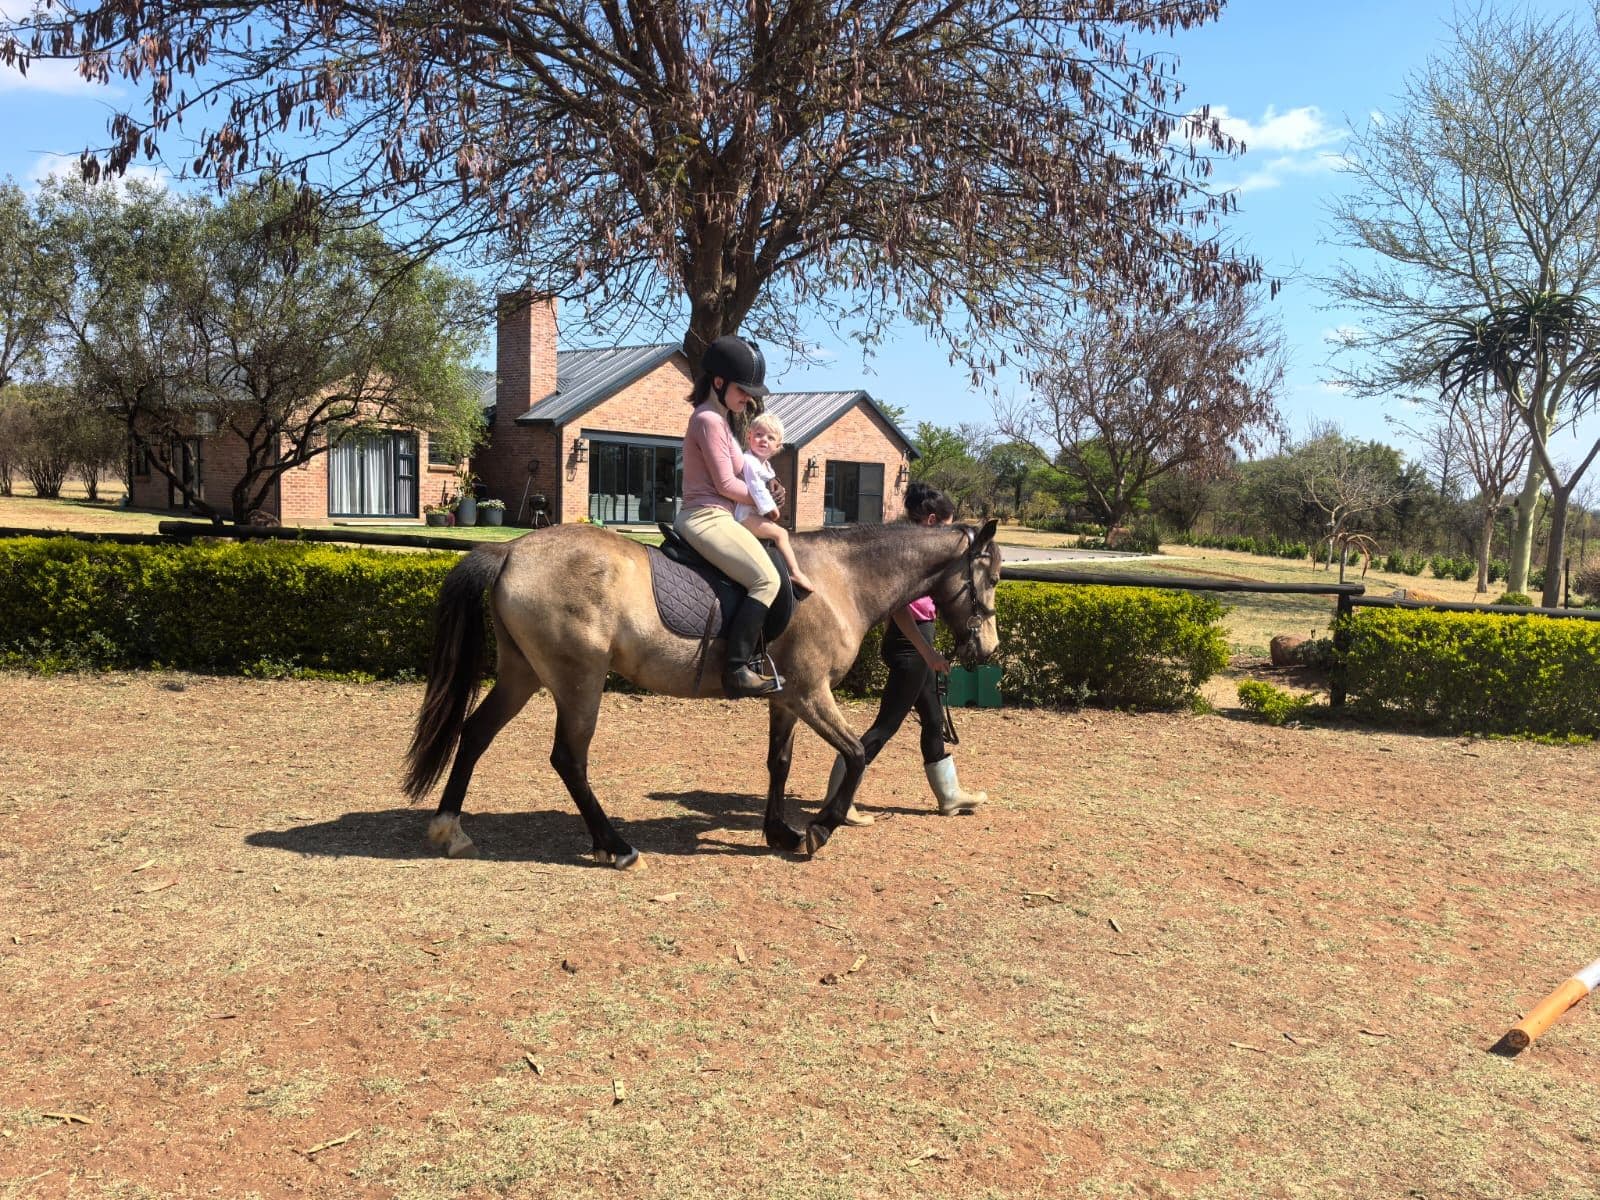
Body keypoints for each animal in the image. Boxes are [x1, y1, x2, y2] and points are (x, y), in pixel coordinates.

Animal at [401, 518, 1002, 867]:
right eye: (992, 577)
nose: (988, 649)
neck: (838, 581)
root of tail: (509, 551)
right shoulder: (810, 692)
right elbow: (856, 754)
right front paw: (819, 829)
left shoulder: (784, 699)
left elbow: (779, 763)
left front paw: (780, 832)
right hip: (579, 681)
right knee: (568, 758)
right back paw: (615, 846)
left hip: (522, 674)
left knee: (475, 734)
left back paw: (450, 829)